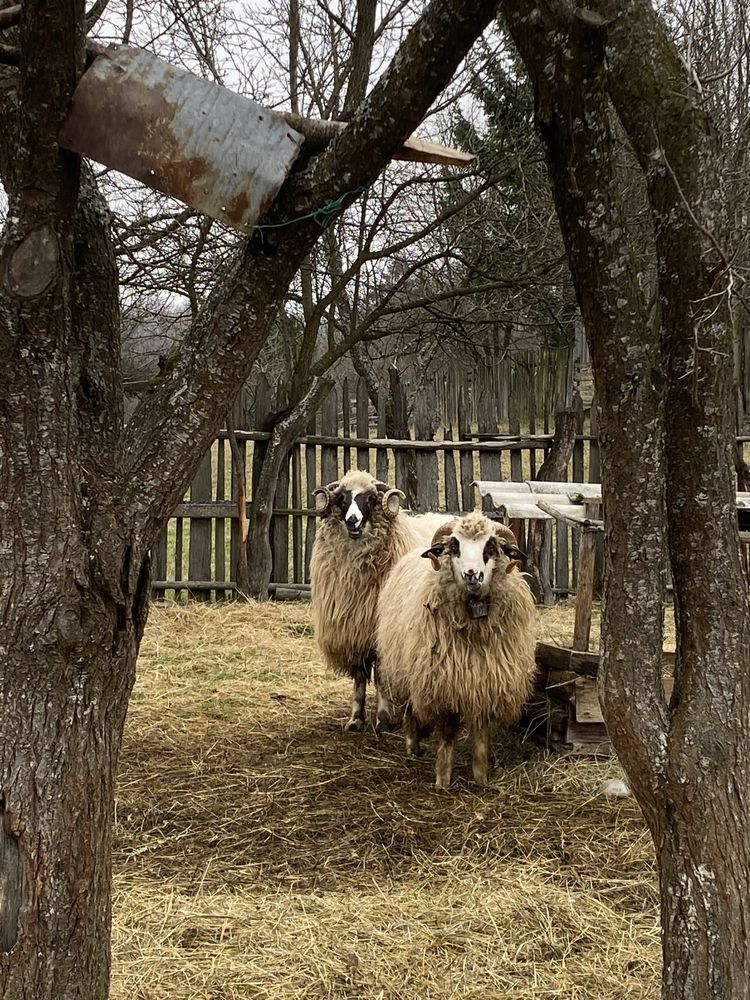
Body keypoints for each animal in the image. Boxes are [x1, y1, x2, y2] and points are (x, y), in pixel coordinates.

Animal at [310, 464, 452, 732]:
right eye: (342, 498)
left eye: (371, 499)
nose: (352, 520)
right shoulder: (355, 629)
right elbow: (359, 676)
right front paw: (355, 719)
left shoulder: (382, 630)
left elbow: (382, 675)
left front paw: (384, 718)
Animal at [378, 516, 536, 788]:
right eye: (454, 546)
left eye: (491, 546)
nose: (472, 574)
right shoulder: (444, 684)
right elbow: (448, 735)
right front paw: (442, 779)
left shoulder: (485, 684)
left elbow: (481, 737)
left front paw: (481, 778)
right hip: (404, 667)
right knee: (409, 711)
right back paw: (412, 746)